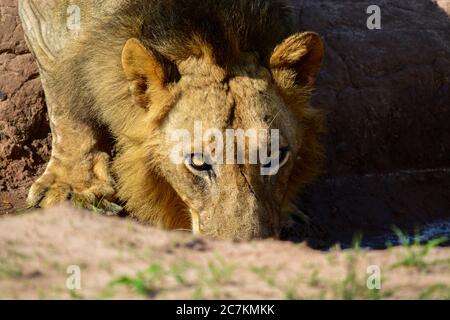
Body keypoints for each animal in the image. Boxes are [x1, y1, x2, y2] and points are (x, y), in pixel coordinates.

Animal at [19, 0, 326, 240]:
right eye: (199, 163)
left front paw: (288, 211)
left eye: (275, 157)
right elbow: (65, 103)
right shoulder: (43, 21)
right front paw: (72, 187)